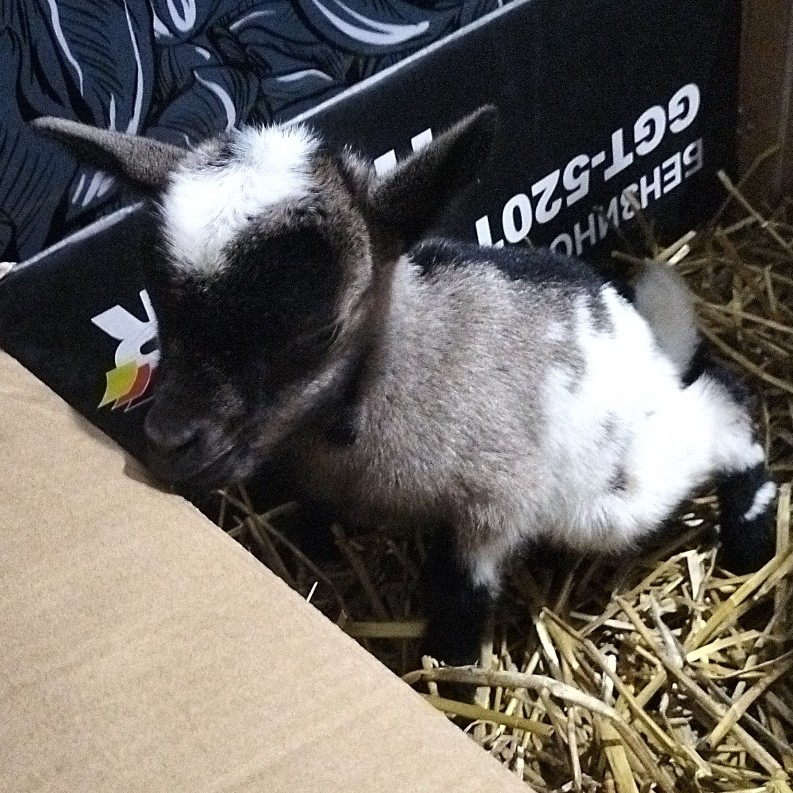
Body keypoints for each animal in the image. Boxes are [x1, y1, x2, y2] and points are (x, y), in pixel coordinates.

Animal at [34, 108, 777, 667]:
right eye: (158, 314)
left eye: (321, 332)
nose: (168, 440)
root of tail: (647, 340)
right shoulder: (310, 474)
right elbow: (309, 514)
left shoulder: (494, 501)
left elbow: (458, 593)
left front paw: (452, 676)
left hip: (610, 493)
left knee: (723, 405)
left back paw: (750, 535)